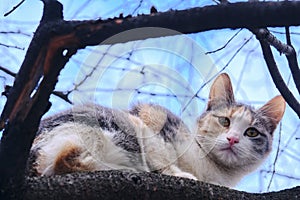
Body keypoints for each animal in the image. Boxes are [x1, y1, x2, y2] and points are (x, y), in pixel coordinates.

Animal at [28, 73, 286, 188]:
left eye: (252, 132)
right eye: (224, 121)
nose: (232, 139)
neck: (214, 172)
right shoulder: (150, 115)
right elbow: (162, 156)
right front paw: (180, 174)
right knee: (66, 160)